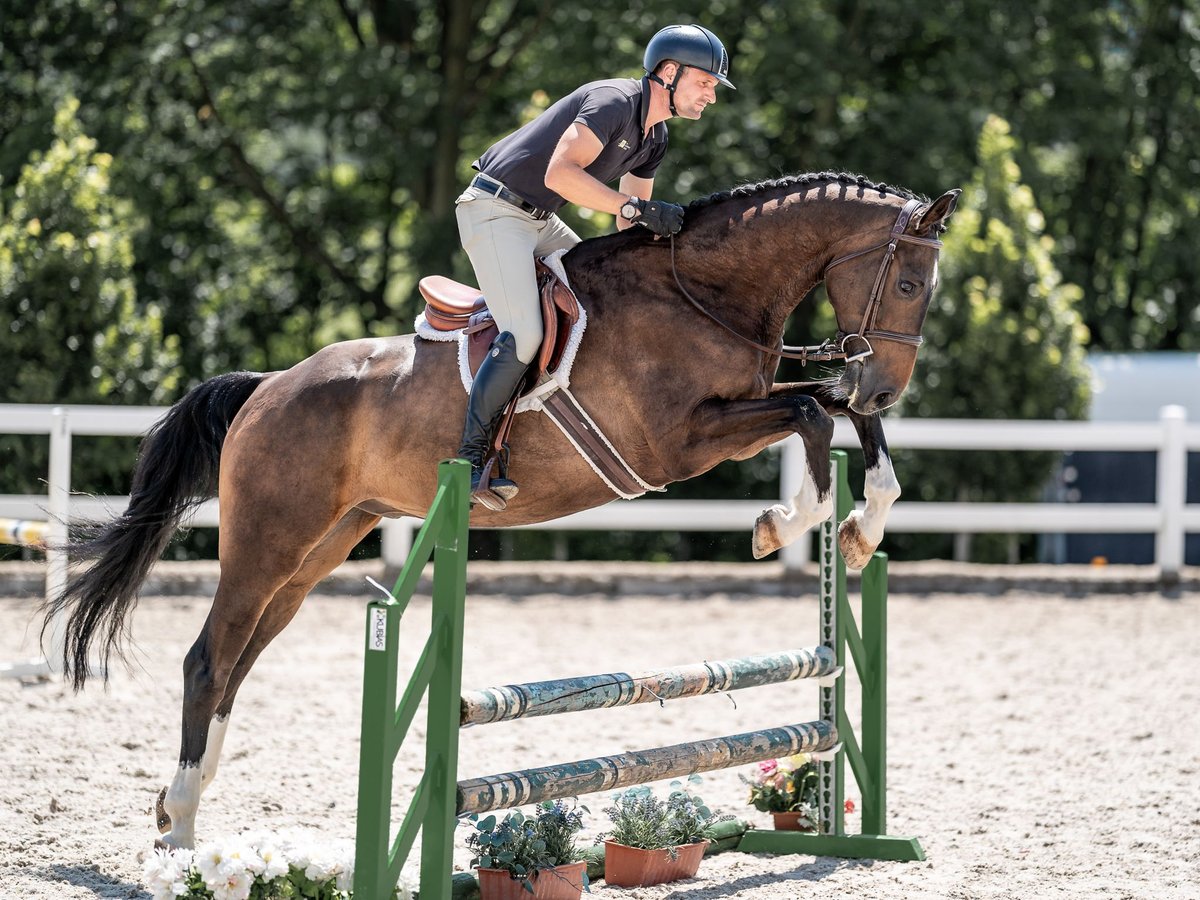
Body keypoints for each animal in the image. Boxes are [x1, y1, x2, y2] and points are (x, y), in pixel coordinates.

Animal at [42, 171, 958, 849]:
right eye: (910, 281)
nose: (886, 384)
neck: (699, 291)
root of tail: (268, 386)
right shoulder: (681, 442)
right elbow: (810, 414)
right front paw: (786, 522)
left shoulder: (748, 408)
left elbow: (837, 418)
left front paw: (860, 528)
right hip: (270, 540)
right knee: (208, 659)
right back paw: (180, 830)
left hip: (318, 548)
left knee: (238, 662)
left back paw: (179, 803)